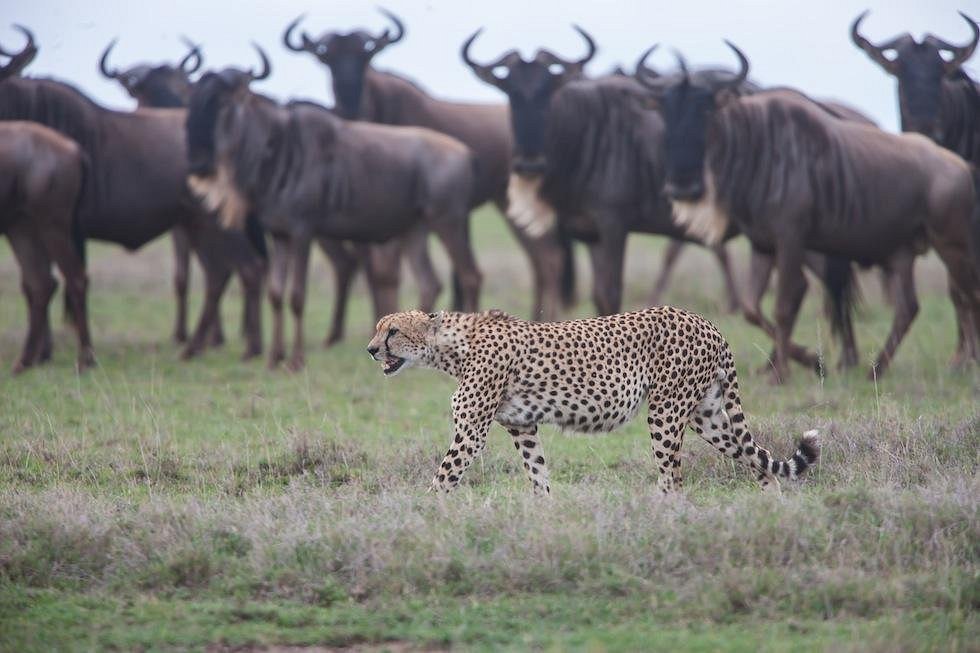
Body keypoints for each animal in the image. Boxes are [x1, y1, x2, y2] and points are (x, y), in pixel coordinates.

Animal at [368, 308, 820, 492]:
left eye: (392, 331)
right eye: (378, 329)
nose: (370, 350)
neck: (450, 347)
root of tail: (705, 321)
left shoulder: (471, 430)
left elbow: (442, 478)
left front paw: (423, 520)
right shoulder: (522, 426)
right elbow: (539, 476)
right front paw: (546, 523)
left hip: (666, 412)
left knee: (673, 478)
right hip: (706, 415)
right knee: (758, 462)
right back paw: (769, 514)